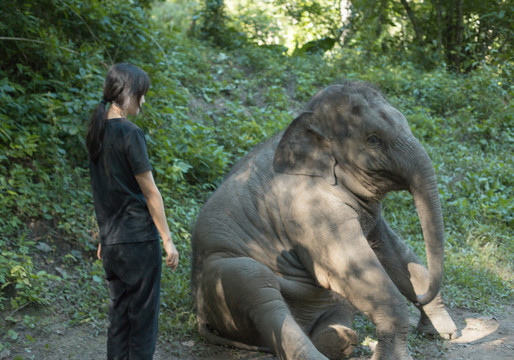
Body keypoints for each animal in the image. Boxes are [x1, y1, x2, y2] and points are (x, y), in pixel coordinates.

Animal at [190, 82, 454, 360]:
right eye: (373, 139)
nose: (421, 297)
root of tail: (200, 315)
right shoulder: (308, 206)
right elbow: (355, 265)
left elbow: (393, 252)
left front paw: (442, 333)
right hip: (224, 273)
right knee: (257, 285)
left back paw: (338, 340)